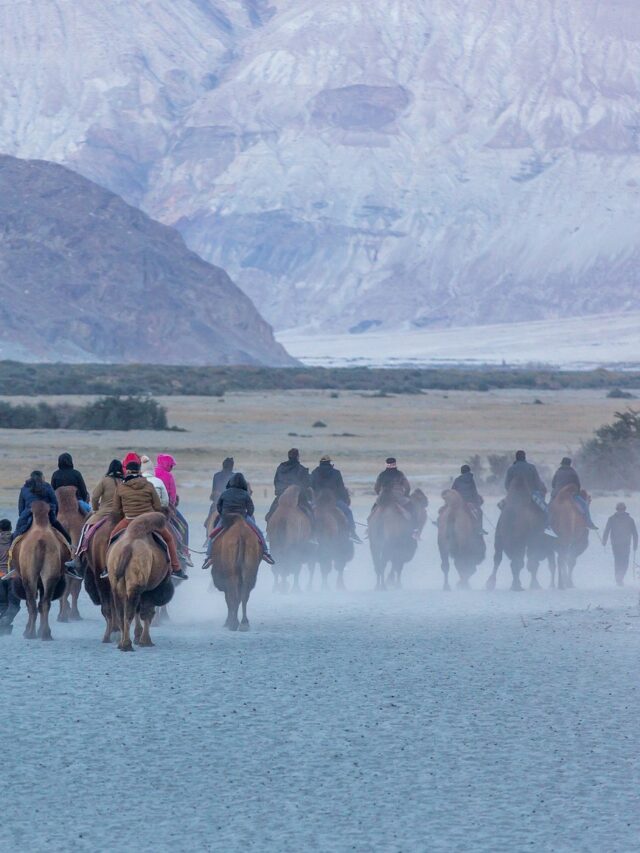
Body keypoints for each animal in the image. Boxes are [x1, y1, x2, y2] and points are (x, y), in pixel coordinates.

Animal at [11, 502, 69, 636]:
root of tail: (41, 541)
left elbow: (30, 603)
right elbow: (41, 603)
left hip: (29, 577)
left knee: (32, 603)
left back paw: (30, 633)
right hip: (50, 576)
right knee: (45, 602)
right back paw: (45, 633)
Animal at [107, 512, 174, 652]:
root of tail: (128, 547)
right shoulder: (150, 590)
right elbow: (147, 613)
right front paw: (146, 641)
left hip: (116, 586)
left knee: (122, 613)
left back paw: (122, 643)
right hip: (136, 586)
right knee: (130, 612)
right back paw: (127, 645)